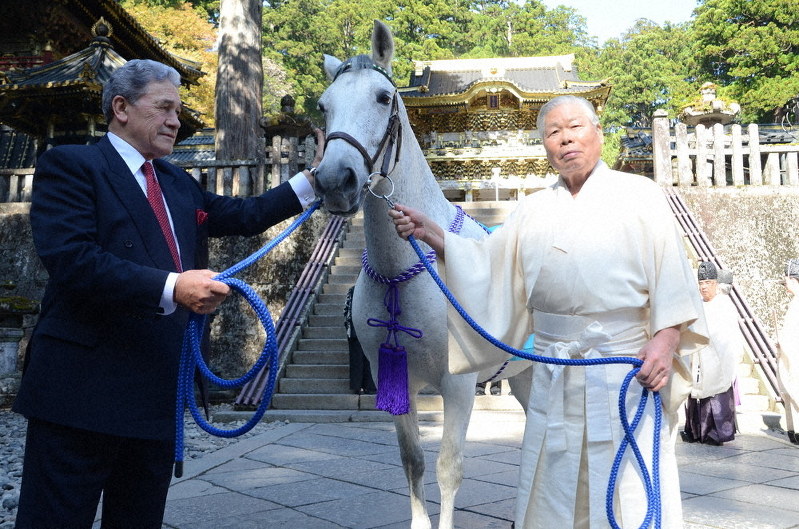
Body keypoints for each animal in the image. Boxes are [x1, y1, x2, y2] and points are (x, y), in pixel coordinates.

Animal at [312, 20, 532, 529]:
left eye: (382, 98)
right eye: (323, 106)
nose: (335, 181)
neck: (405, 272)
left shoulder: (459, 384)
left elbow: (448, 466)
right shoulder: (395, 379)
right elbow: (412, 462)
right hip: (523, 372)